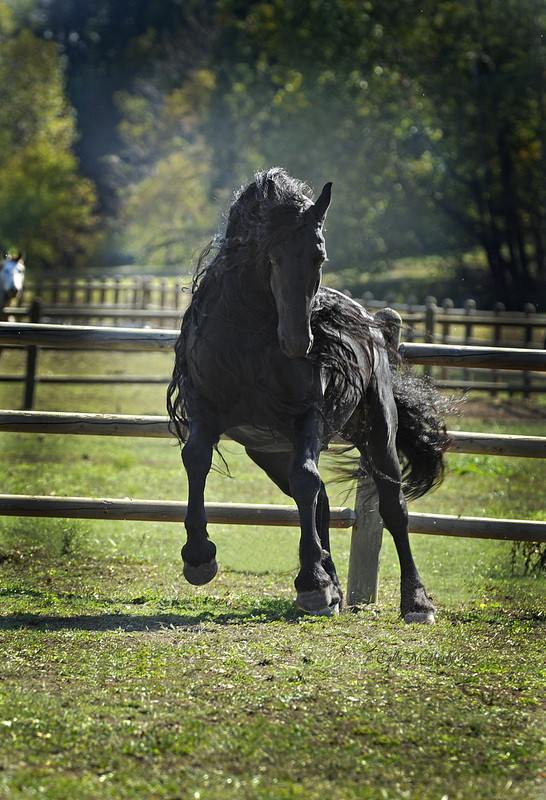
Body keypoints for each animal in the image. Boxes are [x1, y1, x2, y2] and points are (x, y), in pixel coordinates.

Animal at [168, 167, 448, 620]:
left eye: (319, 258)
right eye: (271, 256)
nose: (299, 341)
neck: (251, 343)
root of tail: (374, 324)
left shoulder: (307, 416)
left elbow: (308, 479)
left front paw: (313, 583)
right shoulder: (204, 409)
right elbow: (196, 459)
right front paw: (198, 557)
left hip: (378, 433)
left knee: (392, 509)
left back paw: (414, 602)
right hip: (270, 453)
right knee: (320, 504)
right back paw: (331, 588)